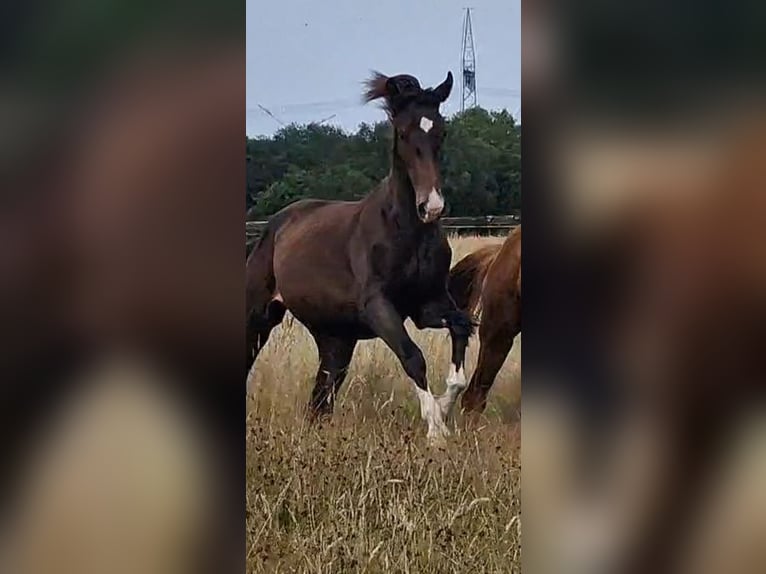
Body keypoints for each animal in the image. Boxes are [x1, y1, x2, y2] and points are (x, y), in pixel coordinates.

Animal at [248, 70, 474, 444]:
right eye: (402, 133)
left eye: (441, 131)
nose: (431, 206)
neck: (404, 230)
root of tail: (275, 225)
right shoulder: (378, 307)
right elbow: (413, 357)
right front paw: (436, 430)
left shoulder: (428, 306)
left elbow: (462, 330)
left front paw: (443, 408)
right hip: (260, 316)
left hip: (335, 339)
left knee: (321, 398)